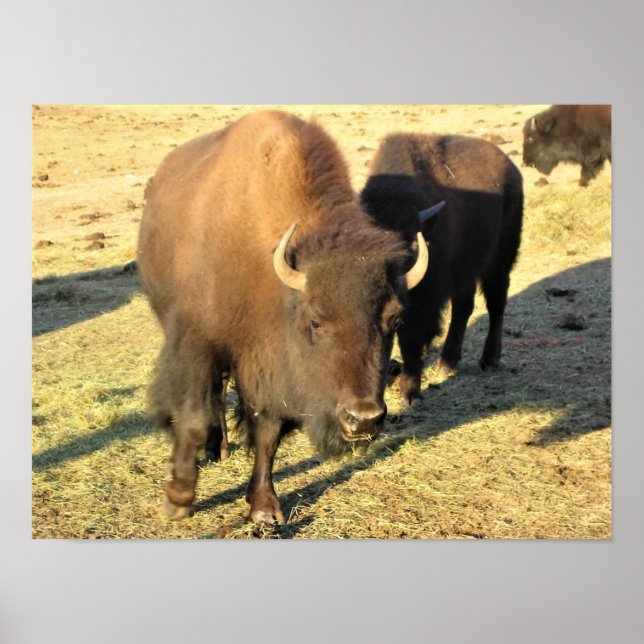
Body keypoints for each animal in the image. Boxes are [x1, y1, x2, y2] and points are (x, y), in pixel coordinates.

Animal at [137, 111, 431, 524]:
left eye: (395, 320)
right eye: (316, 321)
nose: (363, 419)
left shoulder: (266, 366)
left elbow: (268, 433)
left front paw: (264, 507)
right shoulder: (198, 343)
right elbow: (192, 417)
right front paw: (177, 498)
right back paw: (210, 453)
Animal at [361, 133, 524, 404]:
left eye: (411, 239)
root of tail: (512, 169)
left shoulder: (424, 300)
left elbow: (411, 339)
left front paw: (410, 394)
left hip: (499, 262)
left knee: (496, 304)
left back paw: (488, 359)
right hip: (466, 271)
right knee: (464, 308)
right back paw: (447, 363)